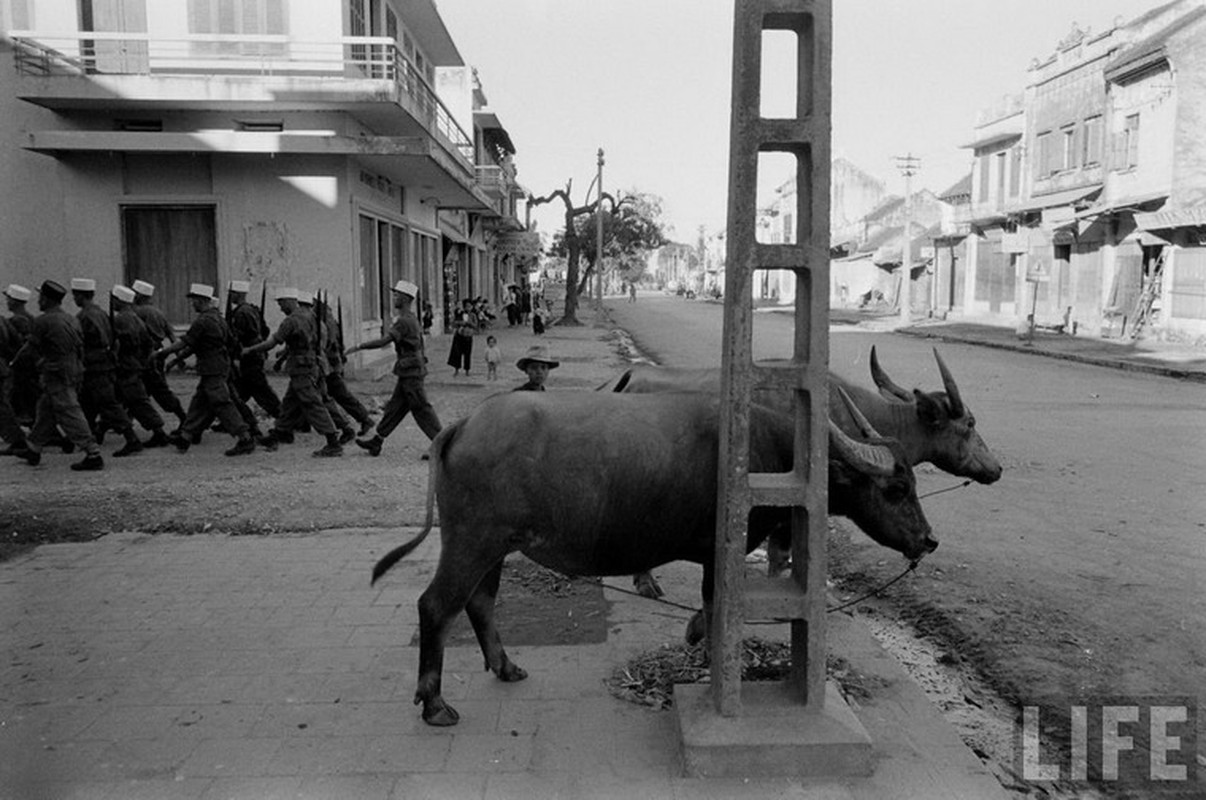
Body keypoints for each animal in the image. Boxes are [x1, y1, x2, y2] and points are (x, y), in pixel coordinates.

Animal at [369, 390, 931, 728]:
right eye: (897, 488)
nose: (928, 540)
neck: (767, 457)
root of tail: (462, 425)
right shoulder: (718, 552)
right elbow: (717, 605)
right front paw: (705, 649)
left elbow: (711, 605)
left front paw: (694, 635)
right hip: (471, 541)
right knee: (436, 605)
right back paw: (435, 704)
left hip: (495, 547)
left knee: (480, 603)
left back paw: (506, 666)